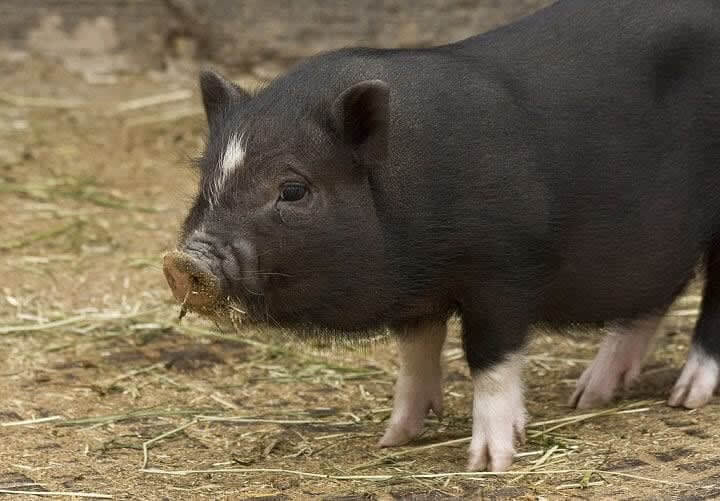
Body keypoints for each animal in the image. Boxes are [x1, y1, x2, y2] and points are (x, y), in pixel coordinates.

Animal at [163, 0, 720, 472]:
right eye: (206, 176)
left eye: (293, 189)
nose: (184, 261)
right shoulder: (415, 291)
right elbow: (415, 353)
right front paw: (392, 439)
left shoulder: (506, 270)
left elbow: (490, 358)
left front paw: (489, 463)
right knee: (655, 296)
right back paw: (589, 396)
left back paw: (685, 398)